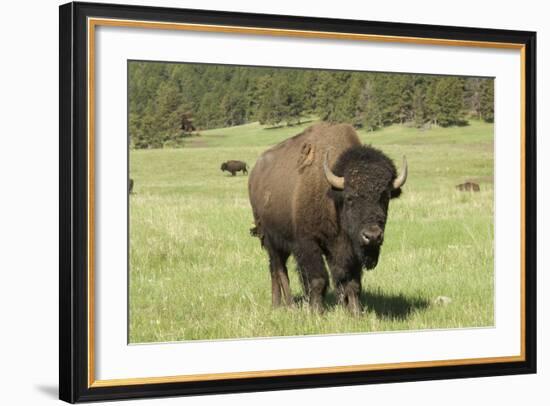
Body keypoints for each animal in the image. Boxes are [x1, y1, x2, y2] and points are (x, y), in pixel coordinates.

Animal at [248, 123, 408, 314]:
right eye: (350, 197)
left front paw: (355, 313)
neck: (333, 197)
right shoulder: (308, 244)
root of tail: (255, 174)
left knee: (278, 268)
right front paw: (317, 312)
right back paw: (285, 305)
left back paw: (282, 305)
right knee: (278, 269)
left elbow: (352, 283)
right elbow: (318, 280)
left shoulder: (349, 249)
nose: (372, 236)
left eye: (385, 197)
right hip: (270, 239)